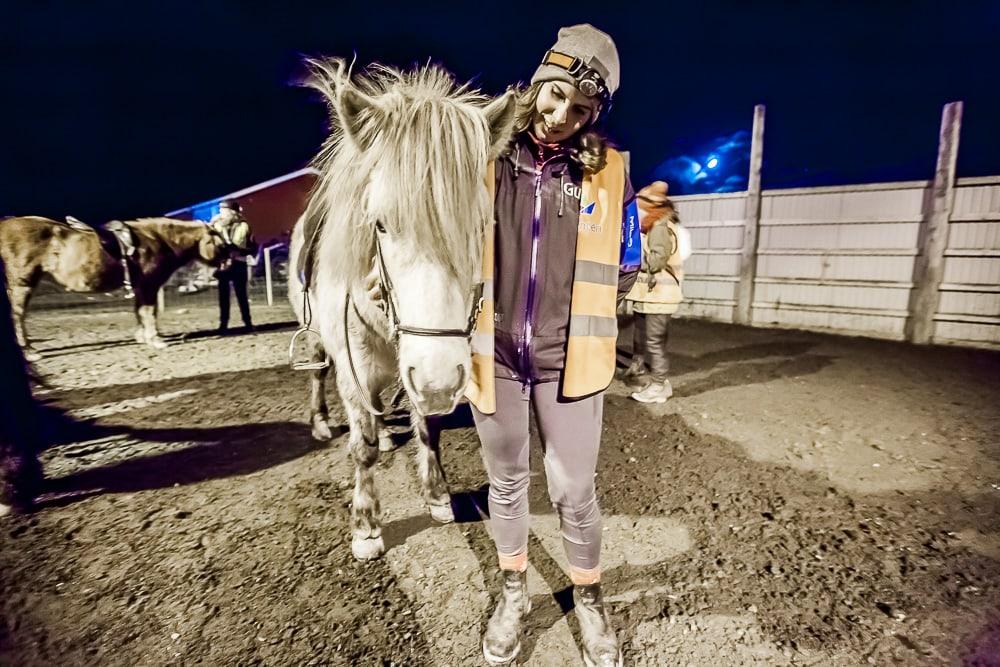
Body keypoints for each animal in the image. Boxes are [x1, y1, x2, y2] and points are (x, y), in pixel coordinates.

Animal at [0, 217, 229, 358]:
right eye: (220, 243)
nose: (228, 264)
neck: (158, 241)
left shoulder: (140, 287)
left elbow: (140, 312)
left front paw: (142, 337)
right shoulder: (149, 285)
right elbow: (149, 312)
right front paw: (155, 339)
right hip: (22, 284)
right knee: (18, 316)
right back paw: (29, 351)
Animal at [286, 57, 512, 560]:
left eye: (481, 227)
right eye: (380, 224)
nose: (439, 380)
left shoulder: (419, 370)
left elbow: (427, 428)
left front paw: (437, 494)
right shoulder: (354, 365)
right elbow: (362, 446)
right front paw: (366, 524)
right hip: (319, 342)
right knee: (320, 377)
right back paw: (322, 423)